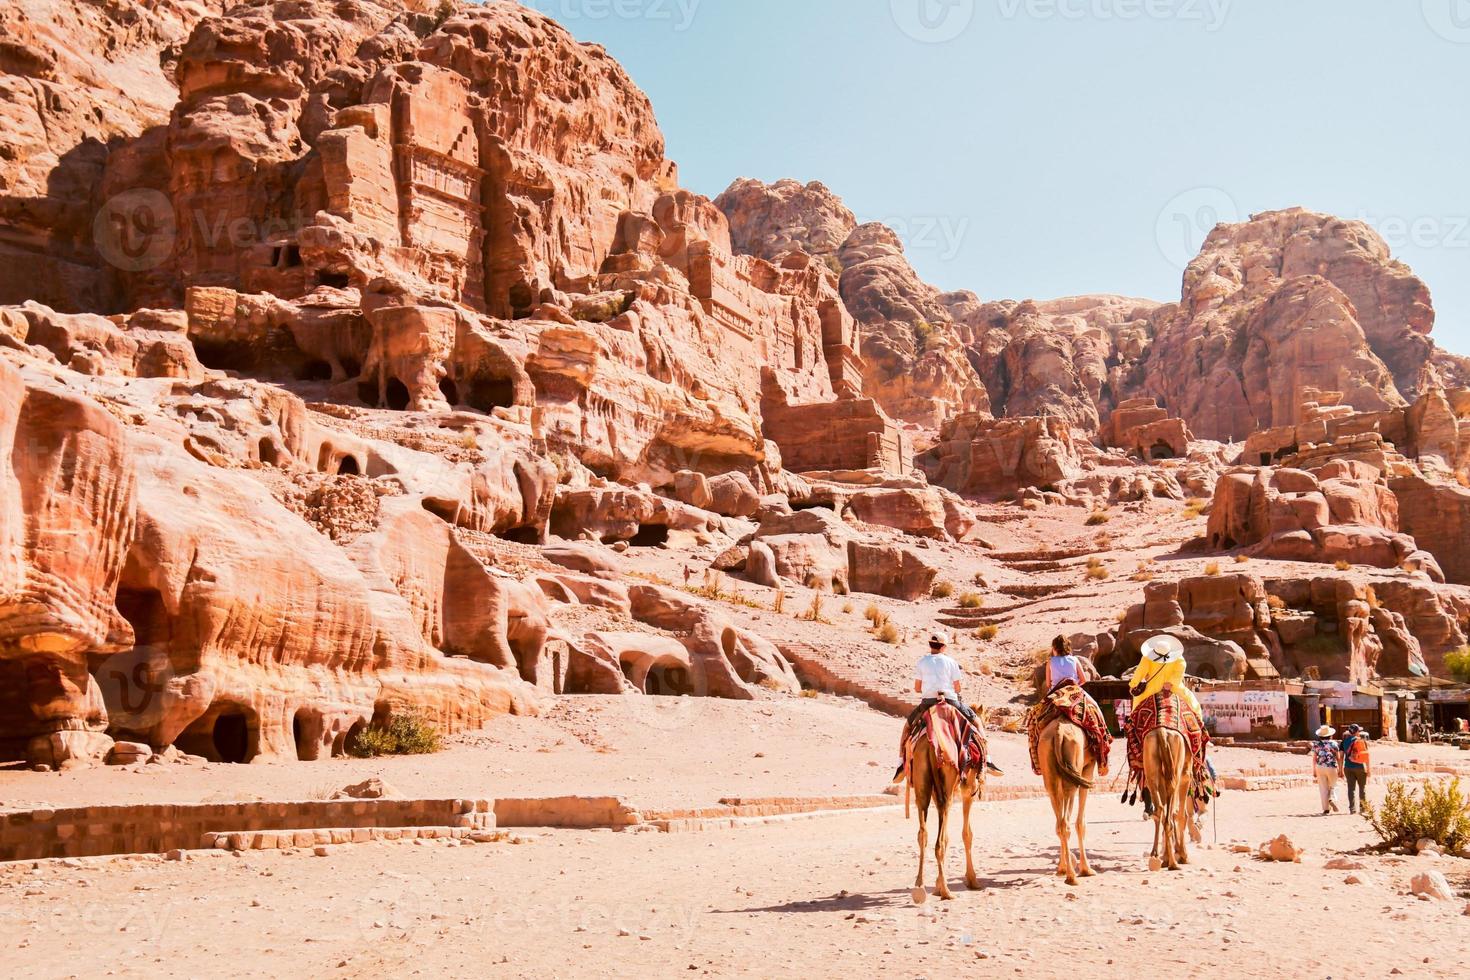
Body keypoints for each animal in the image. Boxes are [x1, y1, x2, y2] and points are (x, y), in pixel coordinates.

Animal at [899, 728, 981, 905]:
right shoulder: (968, 790)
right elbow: (967, 834)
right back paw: (946, 891)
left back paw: (920, 886)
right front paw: (973, 880)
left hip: (922, 784)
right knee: (940, 841)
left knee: (923, 834)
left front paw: (935, 886)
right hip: (948, 788)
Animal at [1040, 717, 1099, 887]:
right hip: (1073, 774)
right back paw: (1072, 877)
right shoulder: (1088, 768)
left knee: (1060, 824)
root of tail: (1058, 733)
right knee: (1066, 822)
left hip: (1050, 775)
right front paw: (1086, 869)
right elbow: (1081, 823)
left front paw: (1061, 868)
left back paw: (1065, 871)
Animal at [1140, 728, 1187, 875]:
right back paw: (1173, 863)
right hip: (1176, 772)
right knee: (1169, 817)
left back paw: (1156, 855)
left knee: (1159, 810)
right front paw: (1183, 855)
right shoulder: (1186, 776)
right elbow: (1180, 815)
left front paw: (1164, 855)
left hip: (1151, 769)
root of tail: (1162, 732)